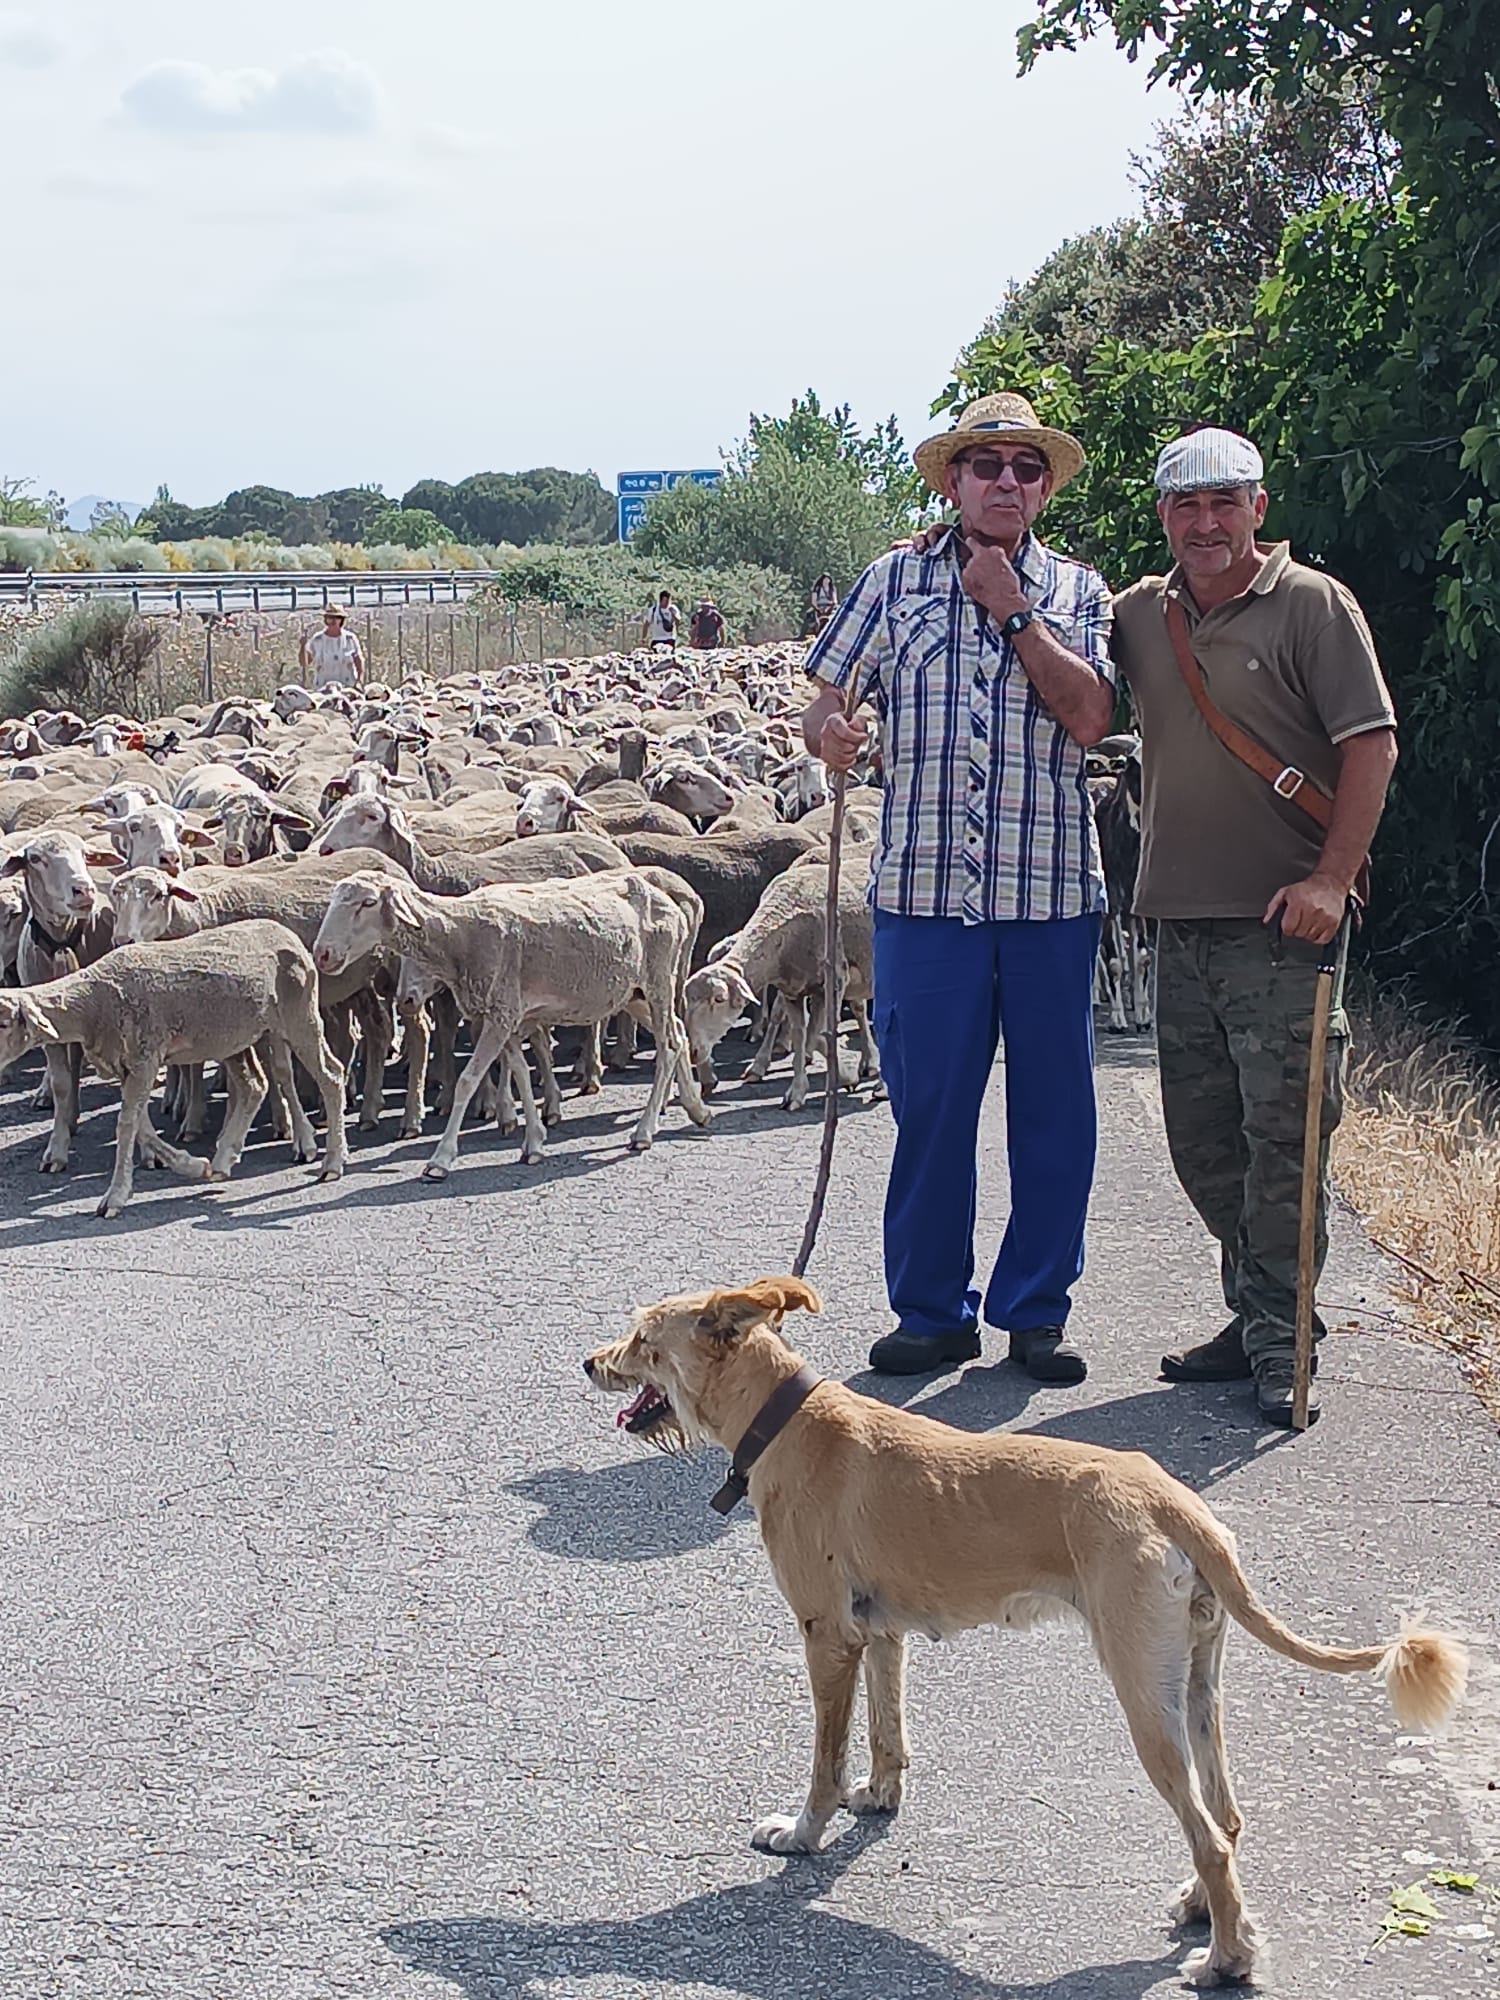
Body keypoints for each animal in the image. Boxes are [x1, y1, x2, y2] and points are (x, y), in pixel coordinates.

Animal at [310, 872, 712, 1168]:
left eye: (367, 902)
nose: (322, 954)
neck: (460, 934)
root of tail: (672, 902)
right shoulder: (508, 1016)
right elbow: (519, 1072)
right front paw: (533, 1143)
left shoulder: (501, 1014)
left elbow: (468, 1081)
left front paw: (441, 1158)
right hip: (632, 993)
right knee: (678, 1034)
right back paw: (697, 1109)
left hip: (658, 981)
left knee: (668, 1045)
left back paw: (644, 1132)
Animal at [588, 1280, 1472, 1984]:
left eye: (642, 1338)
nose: (589, 1364)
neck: (786, 1419)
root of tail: (1172, 1501)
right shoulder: (878, 1636)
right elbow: (886, 1735)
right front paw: (878, 1797)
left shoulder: (826, 1637)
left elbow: (823, 1764)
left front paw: (803, 1834)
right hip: (1194, 1685)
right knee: (1223, 1818)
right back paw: (1205, 1910)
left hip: (1142, 1698)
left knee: (1211, 1836)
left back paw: (1225, 1961)